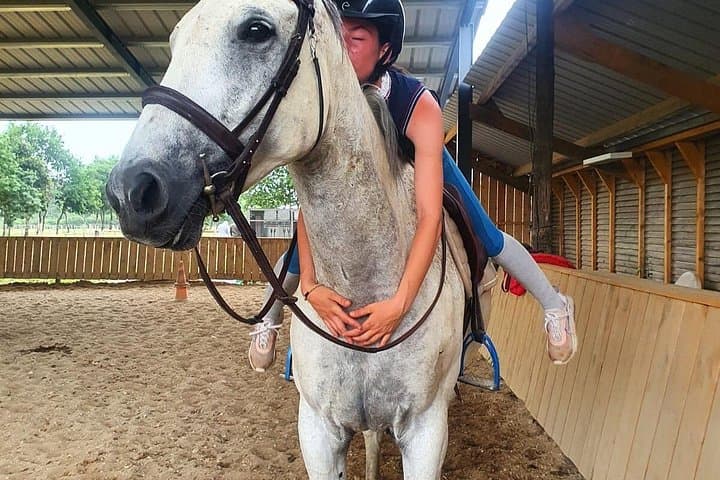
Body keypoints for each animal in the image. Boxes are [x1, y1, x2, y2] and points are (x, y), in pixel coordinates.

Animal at [105, 1, 468, 478]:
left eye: (256, 30)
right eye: (175, 40)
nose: (130, 191)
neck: (365, 286)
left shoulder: (427, 433)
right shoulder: (318, 431)